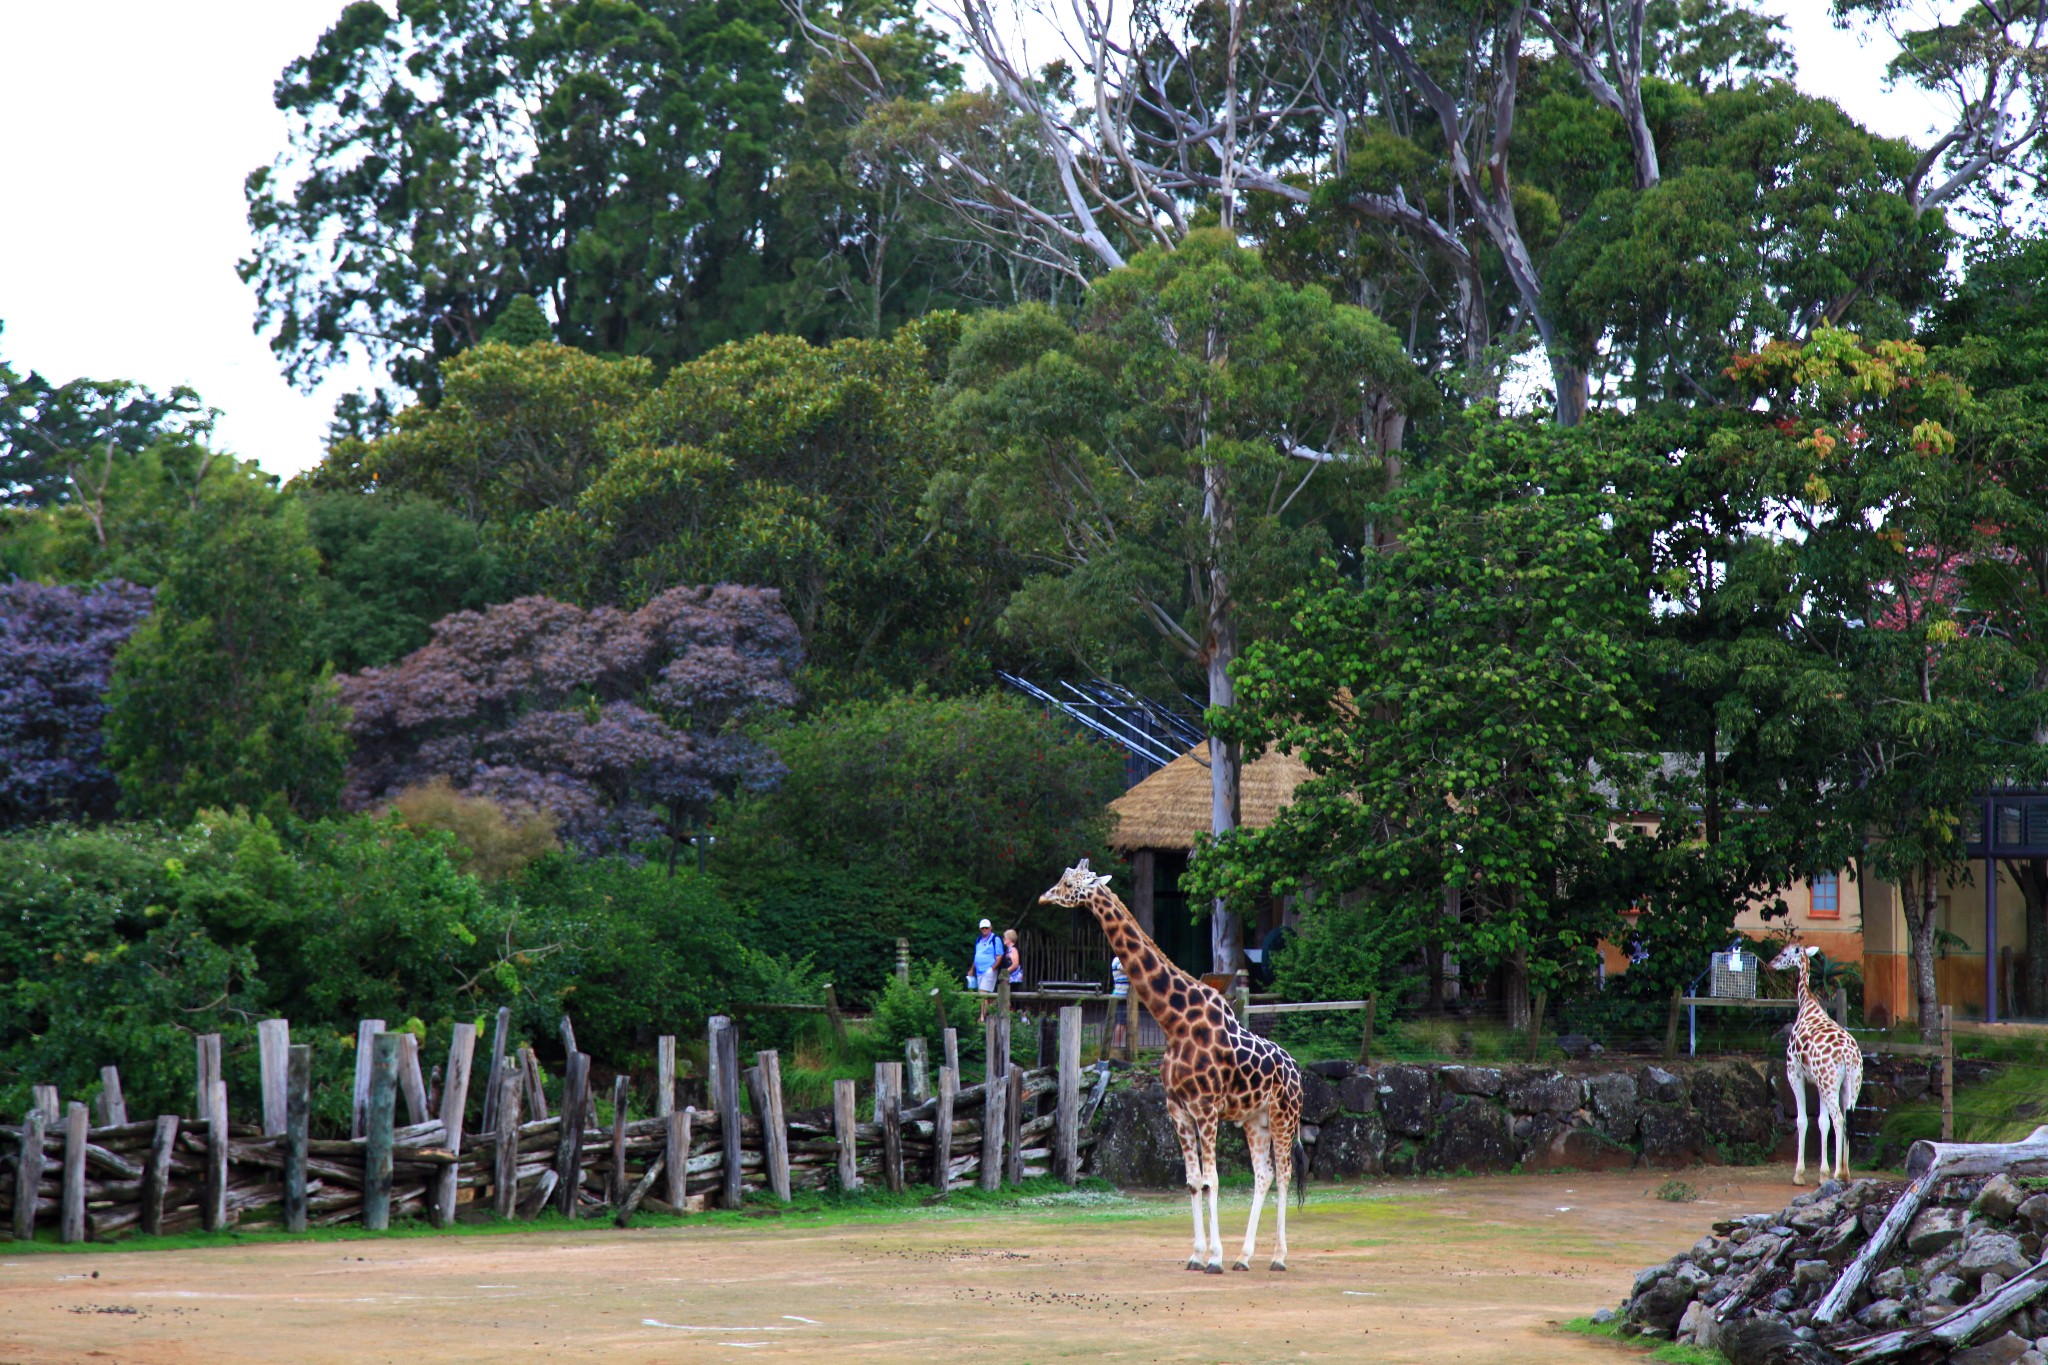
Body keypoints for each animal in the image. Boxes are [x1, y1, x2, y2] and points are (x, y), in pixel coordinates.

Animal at [1032, 859, 1302, 1277]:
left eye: (1070, 882)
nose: (1045, 896)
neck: (1174, 1022)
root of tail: (1299, 1072)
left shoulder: (1206, 1108)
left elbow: (1212, 1180)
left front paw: (1214, 1259)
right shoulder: (1177, 1108)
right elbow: (1193, 1181)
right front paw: (1197, 1255)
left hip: (1283, 1116)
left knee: (1285, 1174)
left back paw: (1277, 1258)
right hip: (1254, 1119)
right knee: (1264, 1174)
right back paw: (1244, 1257)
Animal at [1769, 941, 1867, 1186]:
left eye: (1784, 953)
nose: (1771, 964)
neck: (1807, 1002)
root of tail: (1848, 1055)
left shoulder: (1794, 1073)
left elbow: (1803, 1121)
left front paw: (1800, 1174)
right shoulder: (1819, 1083)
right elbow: (1822, 1122)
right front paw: (1822, 1174)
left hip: (1830, 1083)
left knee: (1839, 1119)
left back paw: (1838, 1173)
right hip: (1851, 1083)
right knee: (1847, 1118)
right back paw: (1846, 1172)